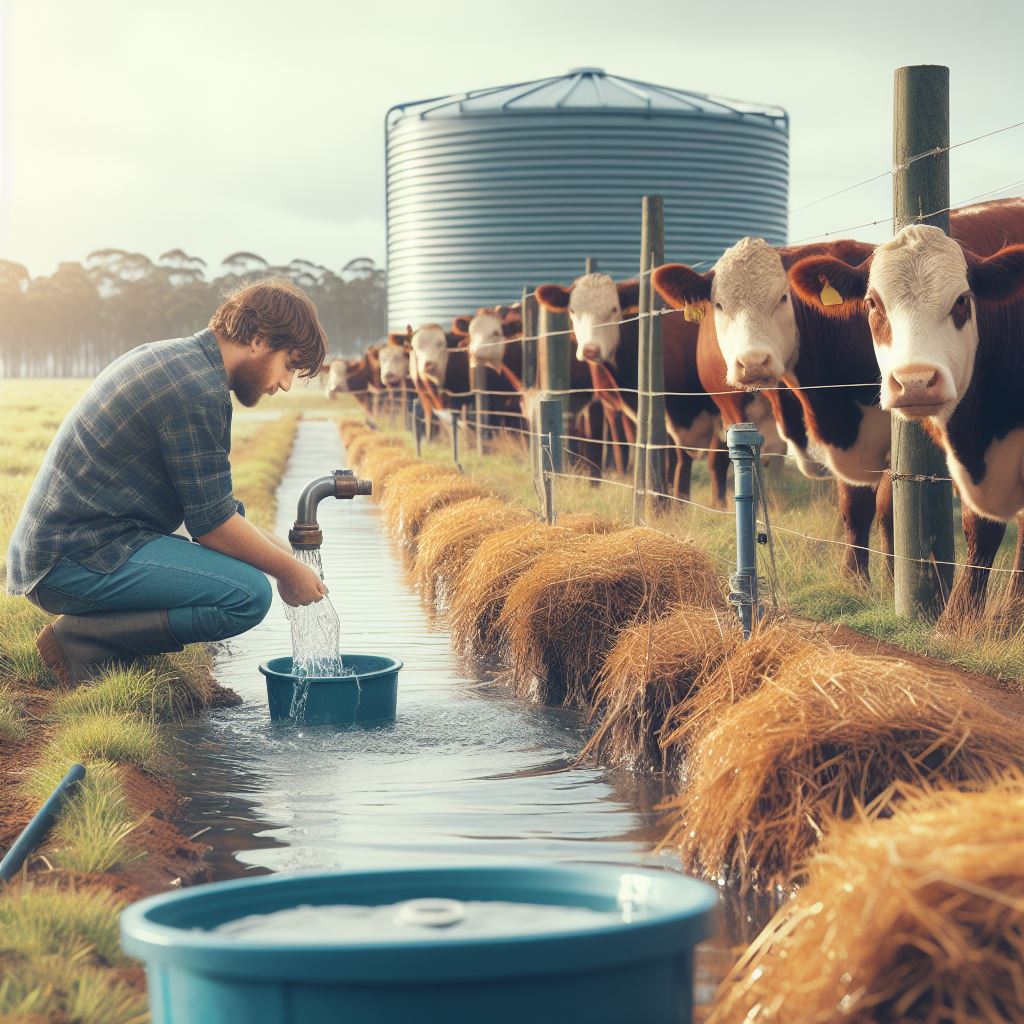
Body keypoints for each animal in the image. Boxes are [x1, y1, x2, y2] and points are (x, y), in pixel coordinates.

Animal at [536, 272, 729, 503]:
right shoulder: (636, 409)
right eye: (572, 311)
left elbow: (713, 461)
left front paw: (714, 505)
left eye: (613, 309)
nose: (590, 350)